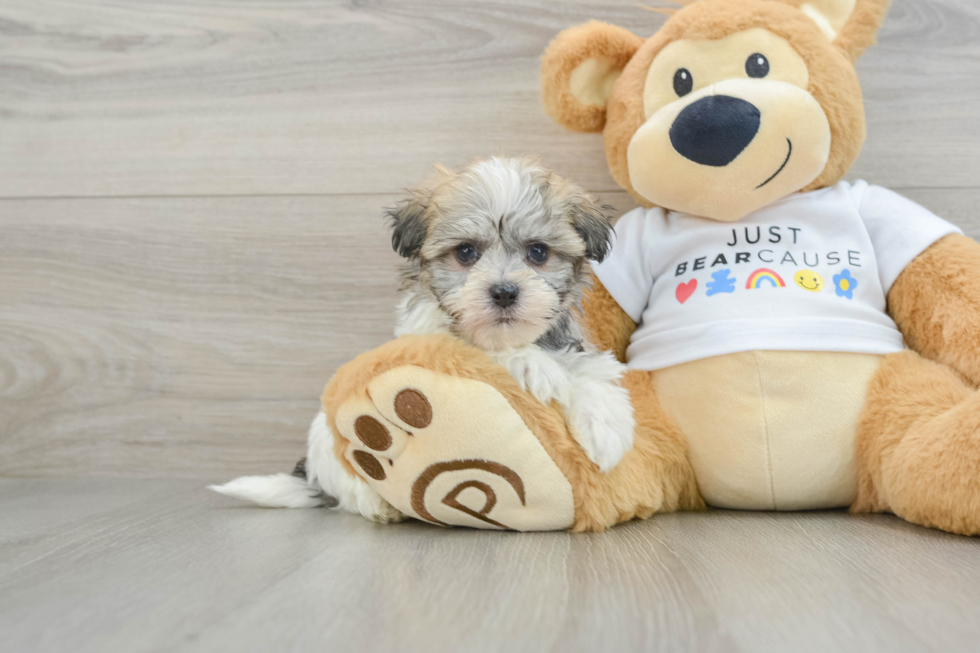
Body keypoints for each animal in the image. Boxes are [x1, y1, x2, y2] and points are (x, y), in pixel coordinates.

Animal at [213, 157, 636, 520]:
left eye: (538, 252)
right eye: (465, 252)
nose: (503, 292)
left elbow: (590, 367)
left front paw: (606, 429)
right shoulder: (427, 336)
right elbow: (478, 350)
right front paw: (534, 365)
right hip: (328, 442)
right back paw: (376, 503)